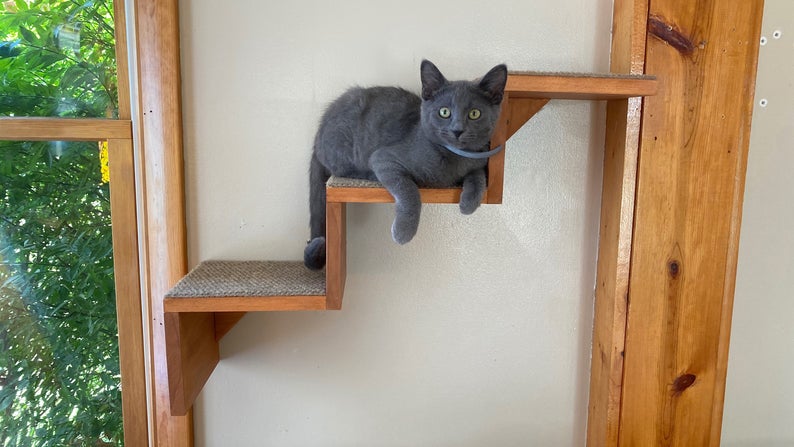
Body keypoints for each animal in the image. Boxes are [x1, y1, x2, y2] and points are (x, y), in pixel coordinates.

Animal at [304, 59, 508, 270]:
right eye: (444, 112)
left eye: (475, 114)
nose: (457, 130)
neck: (453, 158)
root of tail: (319, 132)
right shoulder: (384, 158)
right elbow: (409, 190)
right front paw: (403, 232)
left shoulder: (479, 159)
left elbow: (478, 176)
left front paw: (469, 203)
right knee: (343, 168)